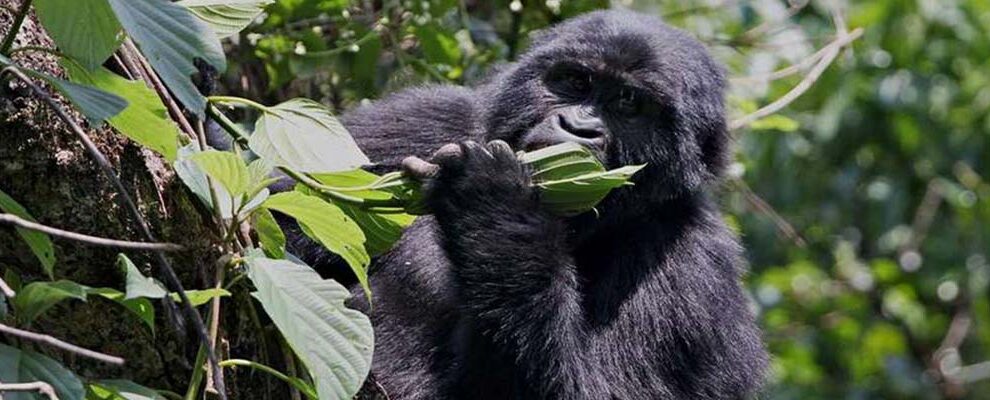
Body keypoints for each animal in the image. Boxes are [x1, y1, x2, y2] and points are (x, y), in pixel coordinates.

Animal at [289, 9, 769, 399]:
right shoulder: (418, 120)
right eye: (576, 81)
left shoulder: (693, 269)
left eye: (629, 102)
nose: (578, 126)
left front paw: (497, 207)